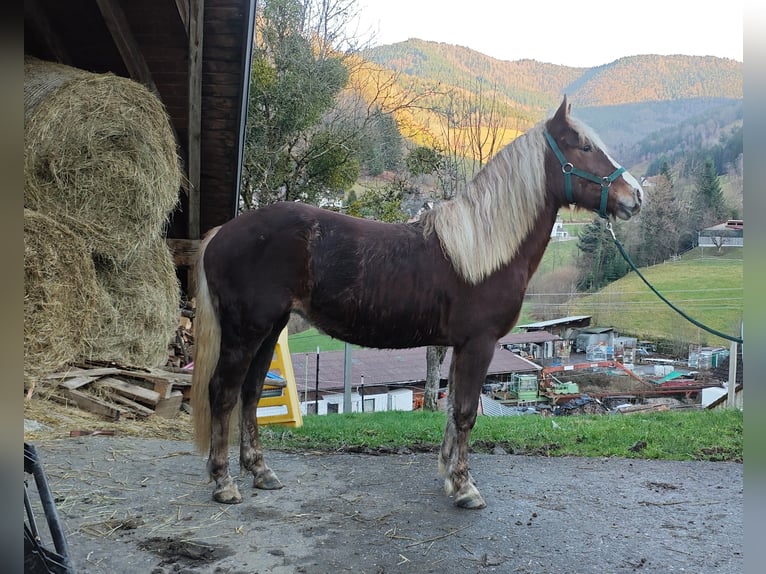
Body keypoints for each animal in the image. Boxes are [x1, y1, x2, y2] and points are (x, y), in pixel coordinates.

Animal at [190, 95, 643, 509]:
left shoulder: (461, 346)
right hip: (246, 331)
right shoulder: (479, 345)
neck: (481, 250)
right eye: (583, 146)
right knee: (224, 392)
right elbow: (465, 413)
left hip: (270, 329)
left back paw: (260, 471)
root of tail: (220, 235)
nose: (635, 196)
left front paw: (449, 476)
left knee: (250, 393)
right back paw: (223, 482)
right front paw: (465, 488)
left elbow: (453, 409)